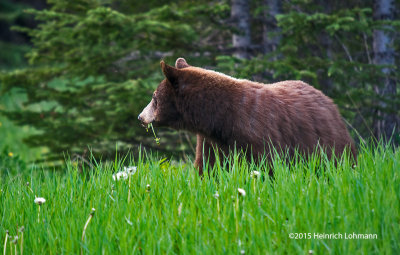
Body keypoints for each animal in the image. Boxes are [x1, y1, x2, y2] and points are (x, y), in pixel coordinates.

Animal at [138, 57, 356, 175]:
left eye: (154, 97)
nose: (141, 117)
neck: (219, 118)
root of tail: (330, 103)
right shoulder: (210, 142)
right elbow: (207, 169)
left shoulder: (258, 133)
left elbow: (269, 168)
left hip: (330, 147)